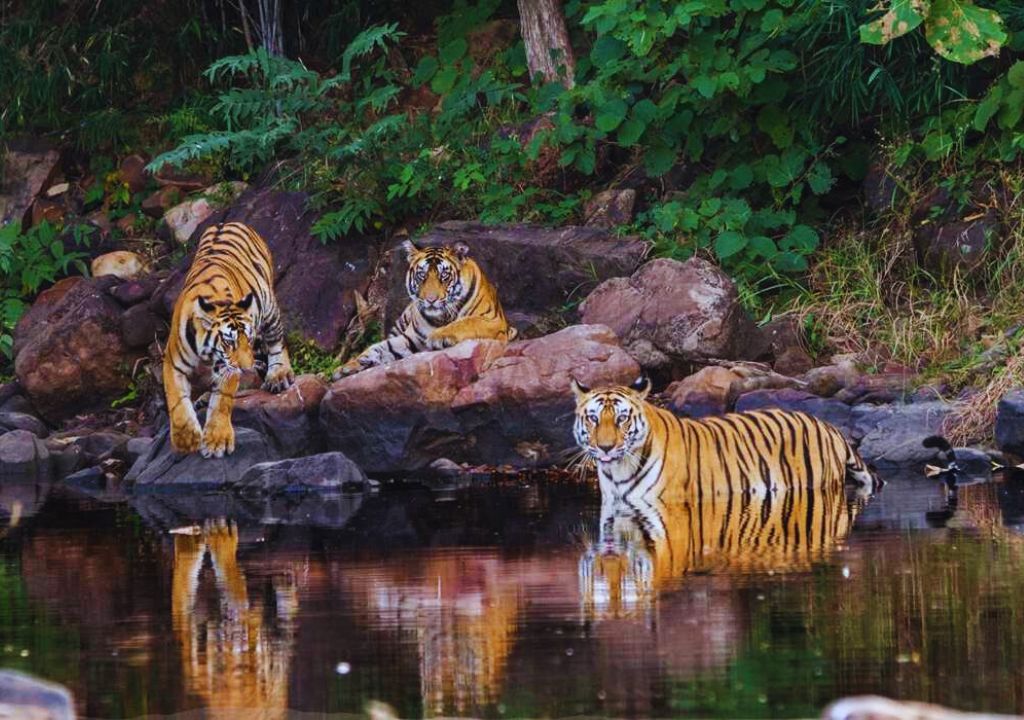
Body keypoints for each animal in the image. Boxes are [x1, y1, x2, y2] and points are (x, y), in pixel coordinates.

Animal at [163, 222, 294, 457]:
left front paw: (217, 440)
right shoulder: (173, 362)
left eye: (248, 340)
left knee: (276, 342)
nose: (247, 368)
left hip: (268, 305)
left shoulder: (228, 368)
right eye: (229, 342)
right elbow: (176, 399)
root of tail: (226, 222)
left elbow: (222, 400)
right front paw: (186, 438)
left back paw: (278, 375)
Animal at [334, 240, 515, 378]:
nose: (431, 300)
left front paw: (438, 336)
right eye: (422, 275)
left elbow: (466, 322)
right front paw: (346, 367)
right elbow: (379, 347)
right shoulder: (410, 338)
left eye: (443, 276)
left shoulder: (494, 321)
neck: (441, 316)